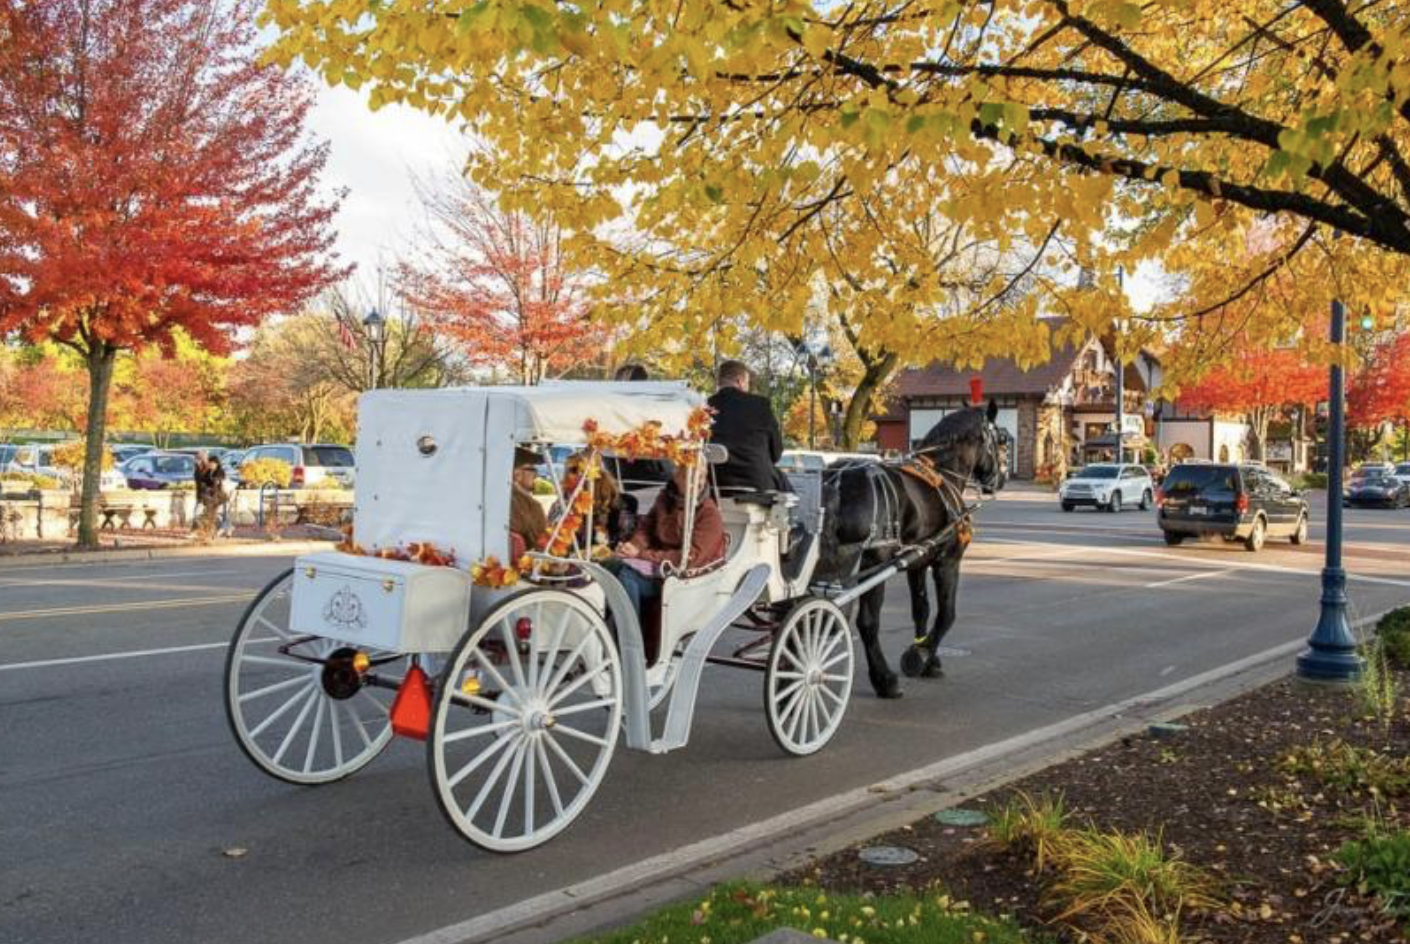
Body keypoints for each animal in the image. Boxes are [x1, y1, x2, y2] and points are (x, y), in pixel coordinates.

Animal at [817, 402, 1003, 698]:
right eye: (999, 439)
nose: (998, 479)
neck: (943, 471)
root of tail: (837, 480)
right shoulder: (948, 562)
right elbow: (947, 614)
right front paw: (921, 655)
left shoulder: (917, 563)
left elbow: (922, 609)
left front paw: (928, 656)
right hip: (872, 565)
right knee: (867, 623)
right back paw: (884, 680)